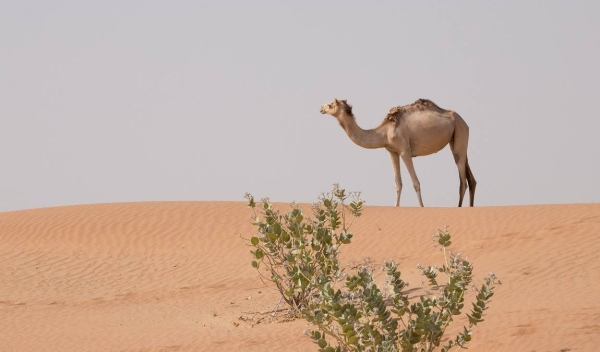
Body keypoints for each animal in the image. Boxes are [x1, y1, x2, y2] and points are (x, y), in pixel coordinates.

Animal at [322, 97, 476, 208]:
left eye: (330, 105)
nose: (321, 108)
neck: (384, 132)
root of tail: (463, 121)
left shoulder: (404, 151)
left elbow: (415, 182)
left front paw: (422, 207)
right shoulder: (392, 152)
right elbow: (398, 183)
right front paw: (396, 207)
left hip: (460, 130)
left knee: (462, 179)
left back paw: (459, 207)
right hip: (455, 139)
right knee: (470, 177)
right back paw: (470, 207)